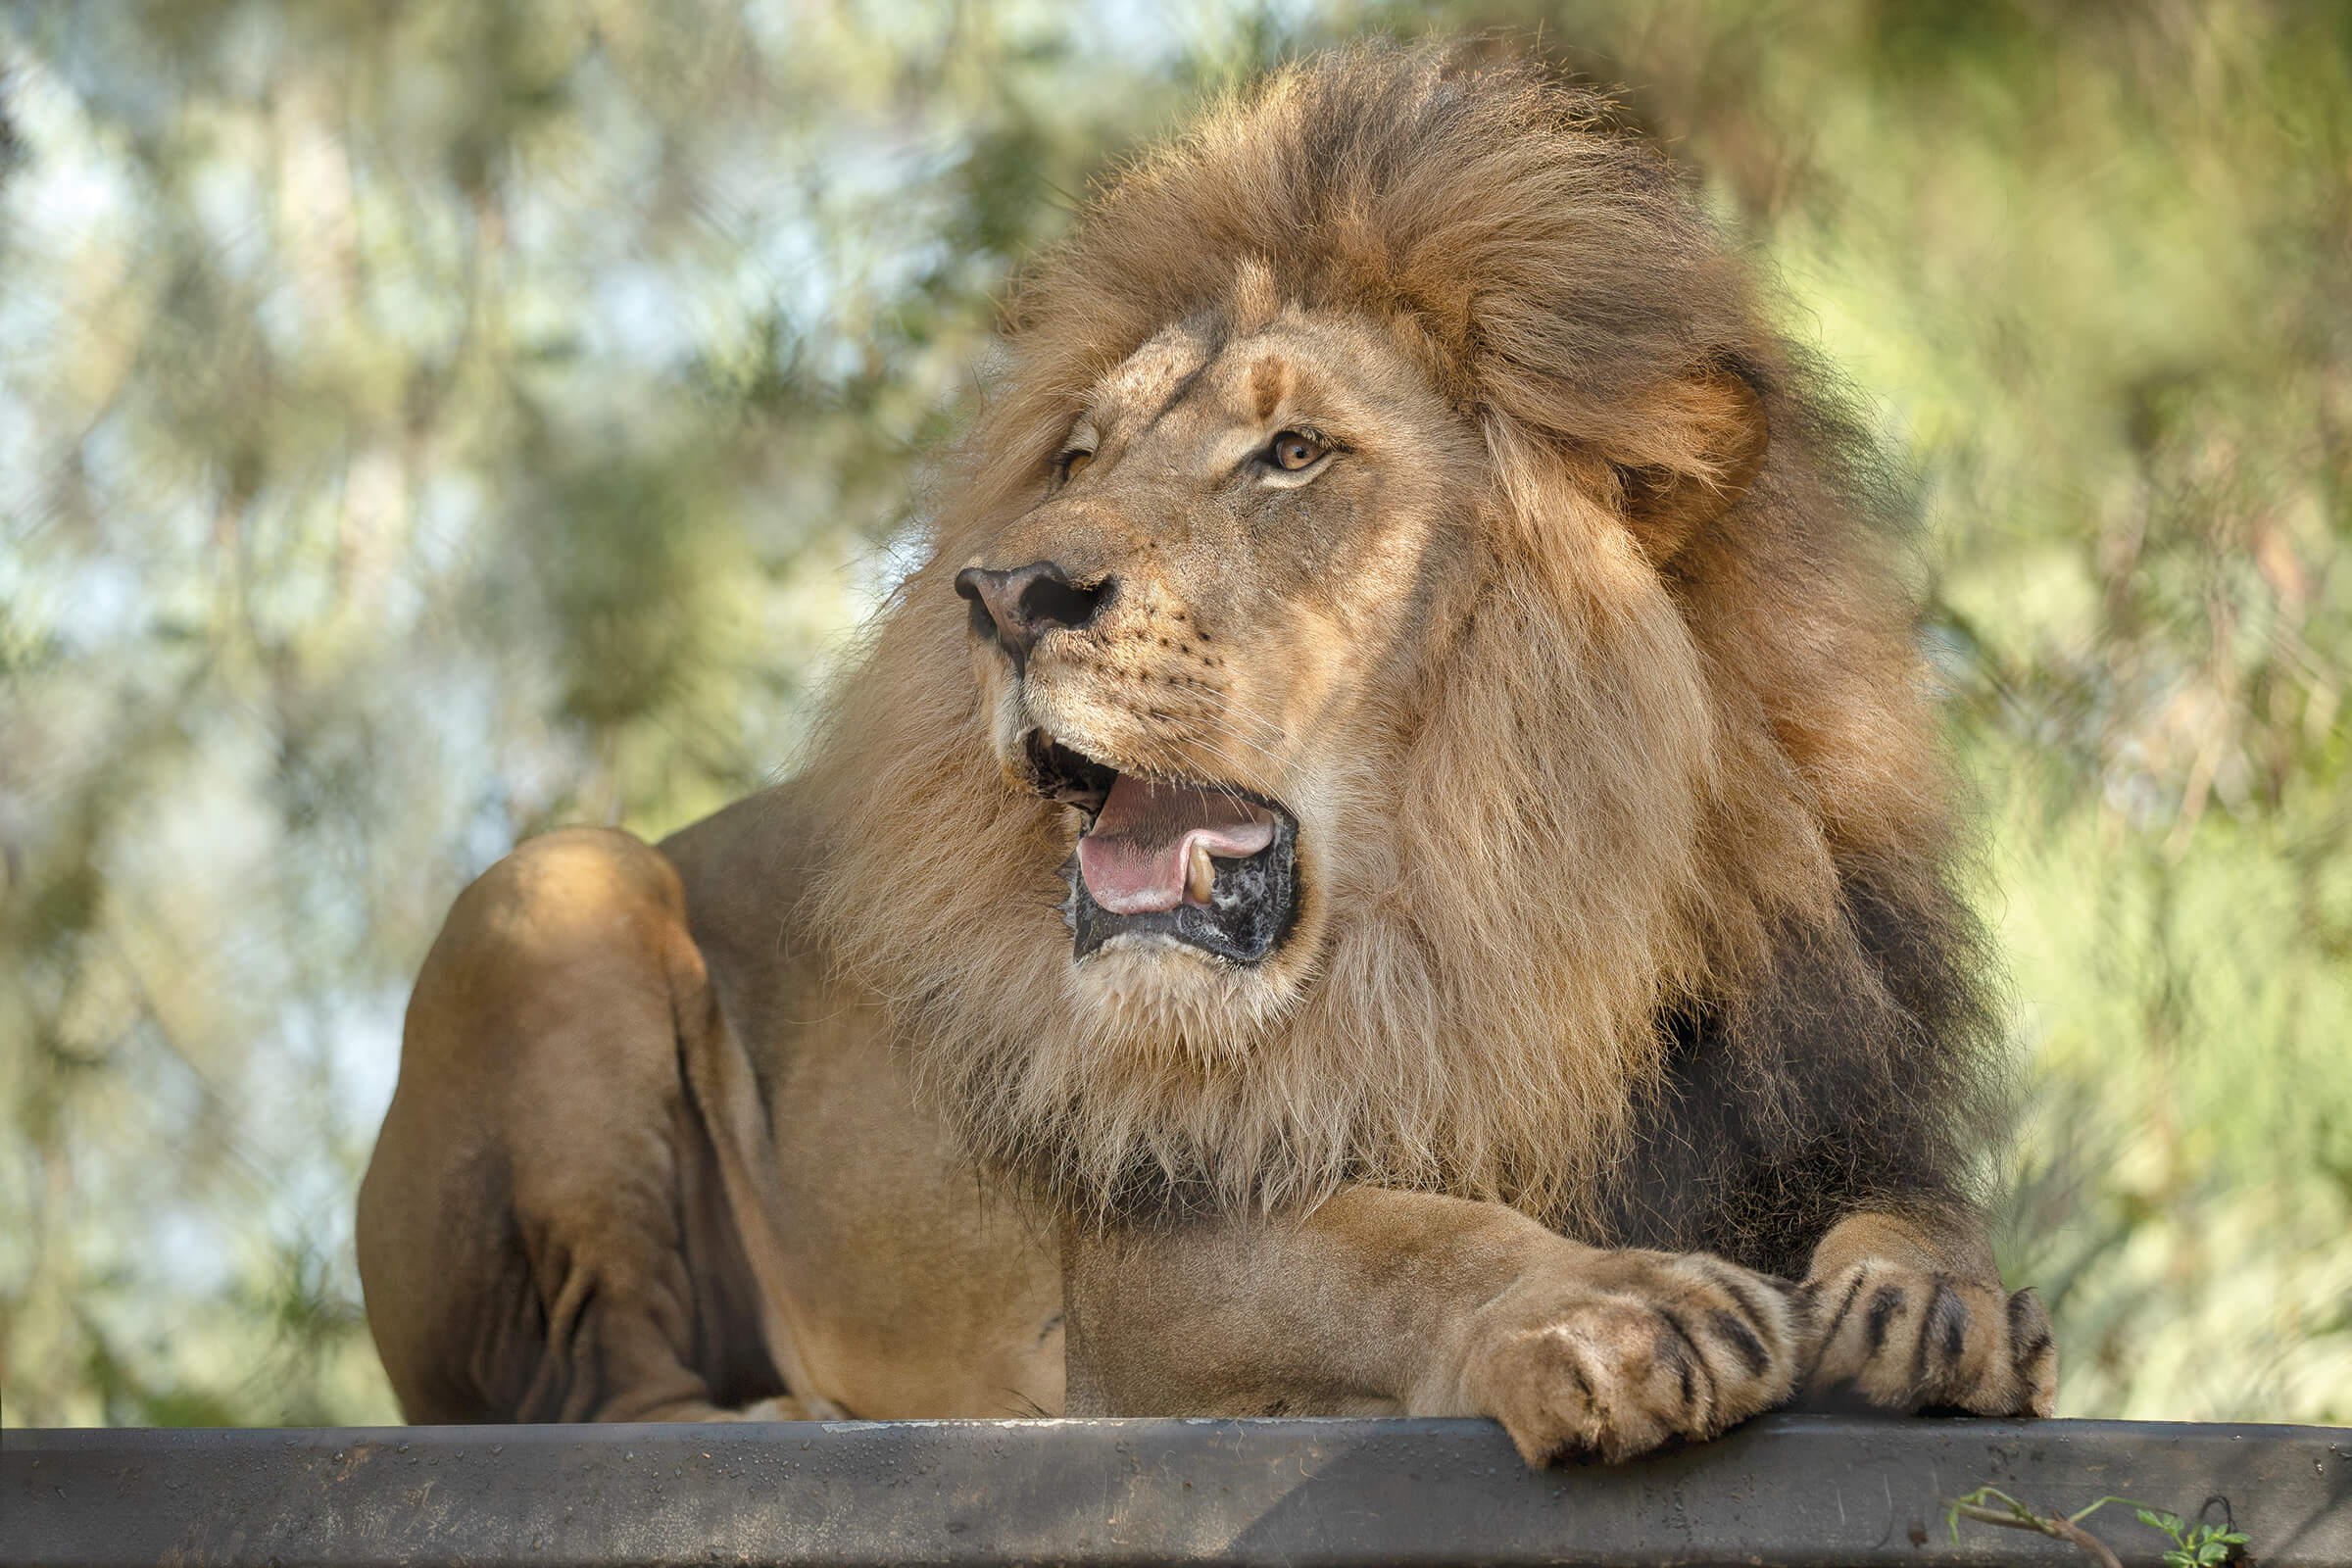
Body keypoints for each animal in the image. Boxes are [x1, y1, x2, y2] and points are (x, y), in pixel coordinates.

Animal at [353, 39, 2060, 1457]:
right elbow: (1396, 1243)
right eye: (1082, 457)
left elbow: (1909, 1206)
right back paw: (786, 1418)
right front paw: (1609, 1313)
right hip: (558, 890)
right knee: (594, 1400)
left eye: (1291, 454)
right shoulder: (1150, 1267)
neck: (1507, 937)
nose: (1003, 594)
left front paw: (1939, 1303)